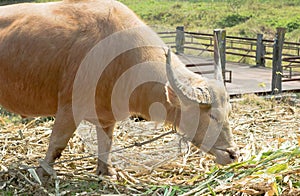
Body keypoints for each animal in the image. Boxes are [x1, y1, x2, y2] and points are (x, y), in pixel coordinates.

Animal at [0, 0, 239, 181]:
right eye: (211, 115)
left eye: (229, 113)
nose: (232, 154)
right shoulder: (69, 107)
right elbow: (57, 143)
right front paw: (43, 173)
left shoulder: (107, 115)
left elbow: (106, 143)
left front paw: (106, 171)